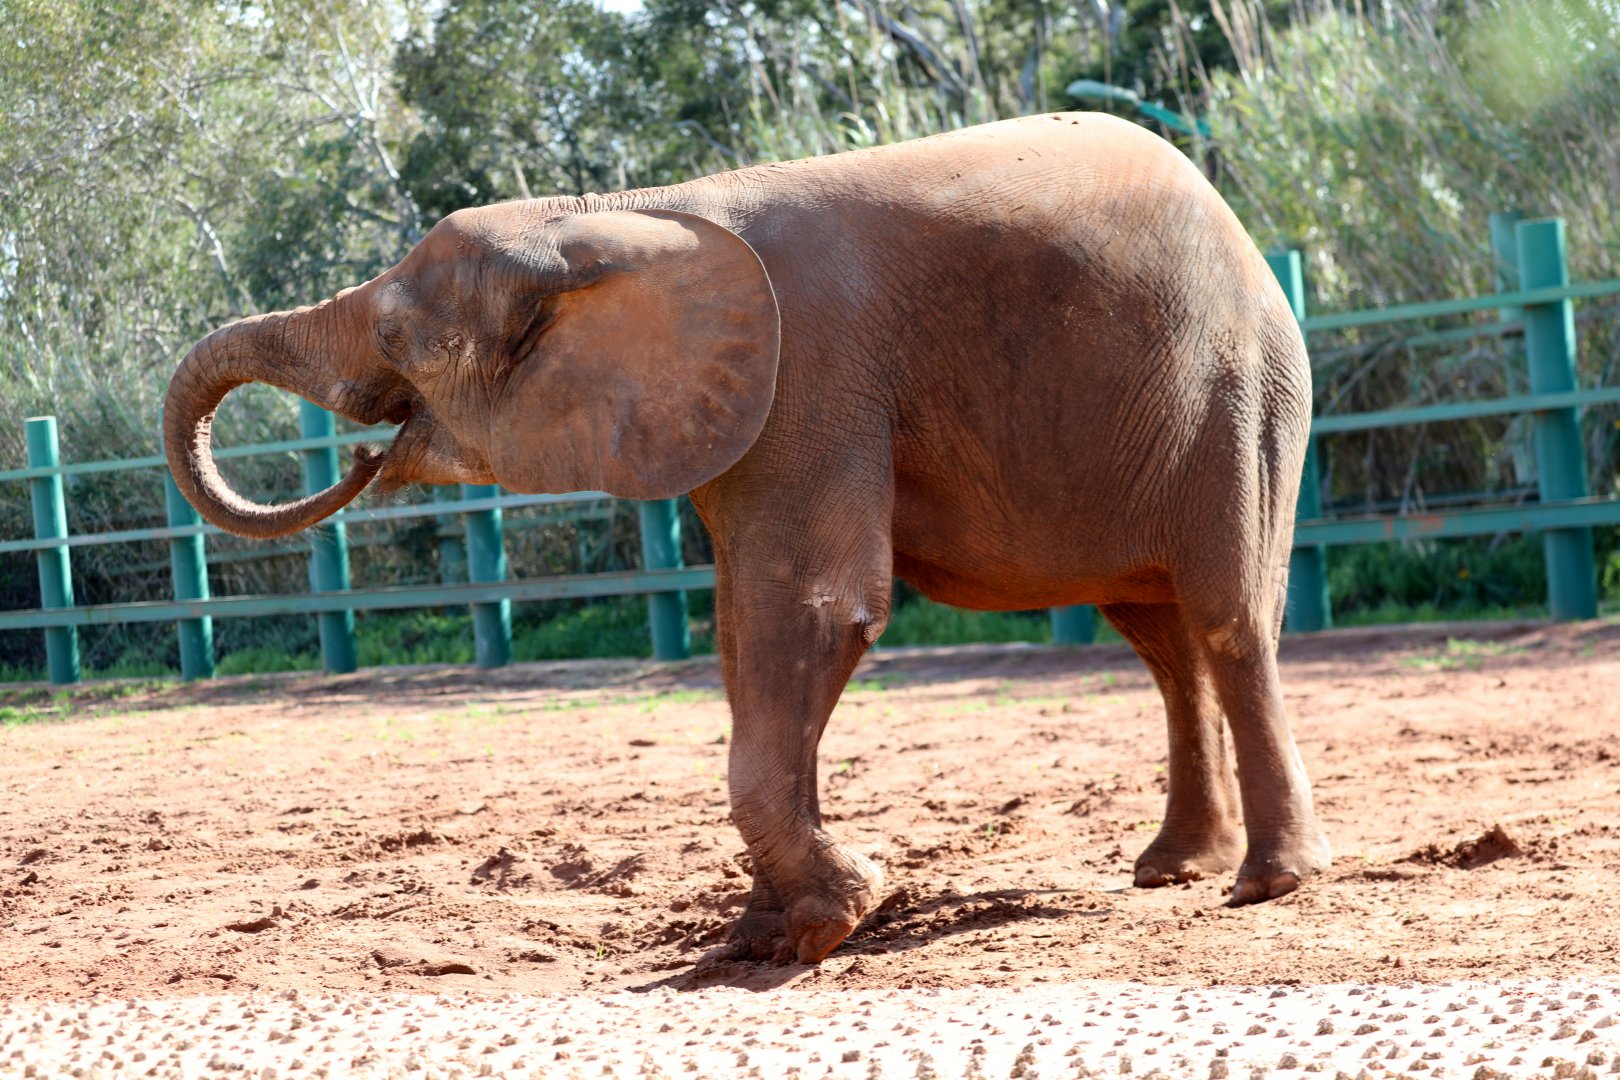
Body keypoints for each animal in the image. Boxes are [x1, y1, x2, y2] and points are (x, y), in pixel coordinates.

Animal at [164, 112, 1332, 965]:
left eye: (399, 338)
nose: (363, 459)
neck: (623, 216)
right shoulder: (738, 412)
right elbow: (741, 634)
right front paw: (765, 935)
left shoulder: (807, 378)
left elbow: (815, 610)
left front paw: (829, 920)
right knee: (1159, 637)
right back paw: (1170, 869)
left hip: (1238, 397)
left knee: (1226, 619)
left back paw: (1268, 884)